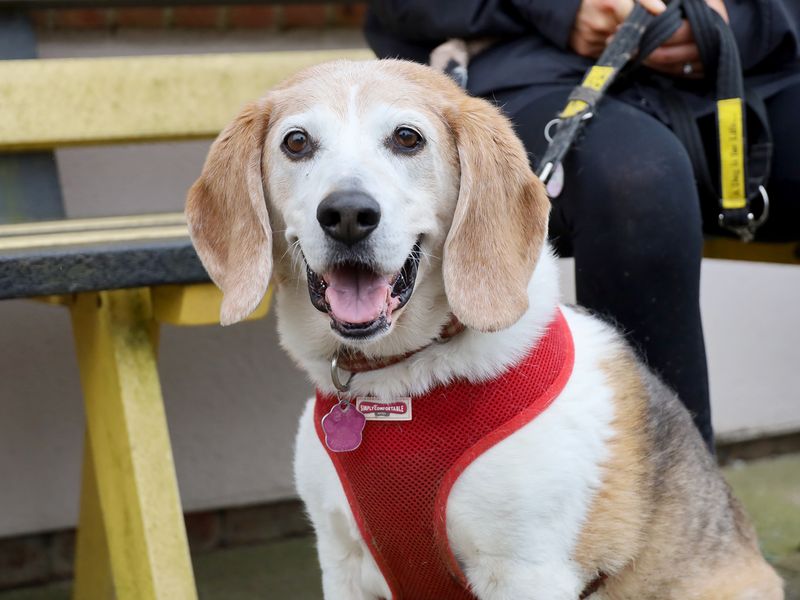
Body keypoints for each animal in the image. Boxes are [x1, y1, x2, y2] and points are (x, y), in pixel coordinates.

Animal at [186, 57, 780, 600]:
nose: (348, 213)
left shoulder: (526, 573)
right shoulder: (342, 565)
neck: (398, 381)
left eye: (407, 138)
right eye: (297, 142)